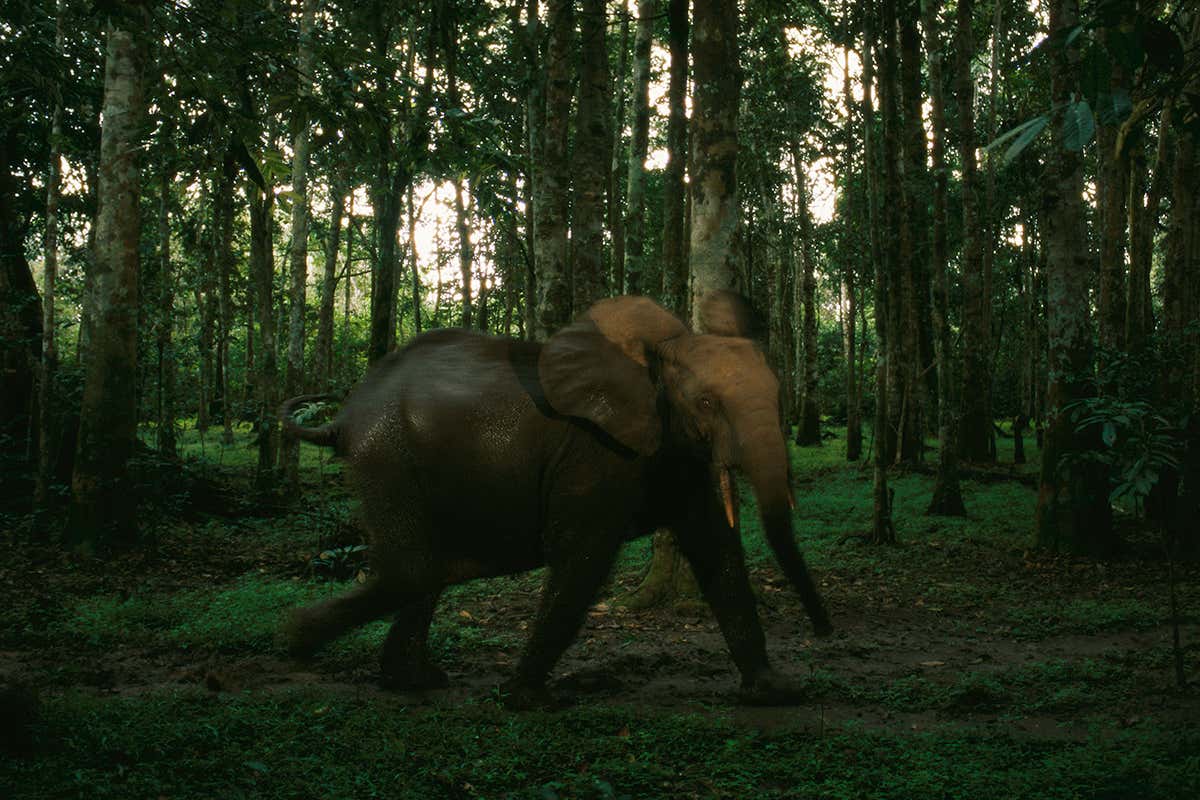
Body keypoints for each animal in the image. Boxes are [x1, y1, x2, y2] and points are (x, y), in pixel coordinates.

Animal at [280, 292, 832, 707]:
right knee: (413, 570)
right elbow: (584, 557)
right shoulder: (596, 452)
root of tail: (342, 416)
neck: (656, 356)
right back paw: (296, 642)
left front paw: (777, 693)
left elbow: (716, 548)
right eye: (706, 403)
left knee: (425, 571)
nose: (825, 633)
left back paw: (410, 679)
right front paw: (529, 701)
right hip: (388, 457)